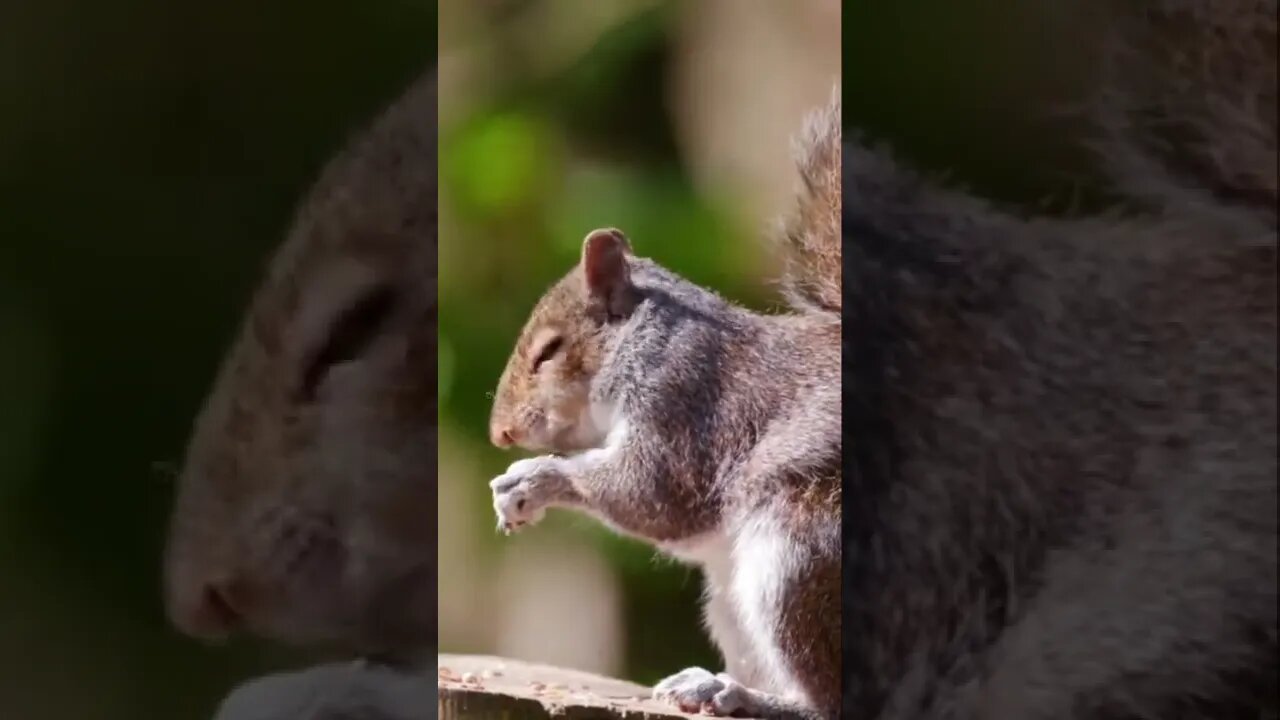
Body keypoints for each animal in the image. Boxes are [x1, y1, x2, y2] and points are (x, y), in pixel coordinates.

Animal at [483, 95, 844, 717]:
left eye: (550, 351)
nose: (500, 434)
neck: (647, 338)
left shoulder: (687, 400)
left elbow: (653, 492)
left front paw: (533, 479)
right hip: (733, 599)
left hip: (800, 556)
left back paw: (742, 696)